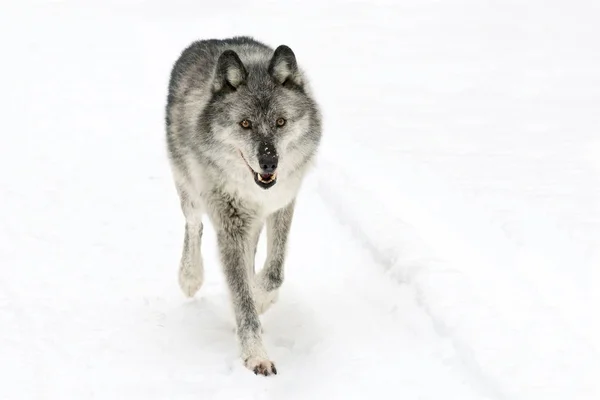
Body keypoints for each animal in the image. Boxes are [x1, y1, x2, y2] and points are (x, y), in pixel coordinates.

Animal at [164, 36, 324, 376]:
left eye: (280, 122)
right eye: (245, 123)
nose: (269, 162)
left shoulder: (282, 204)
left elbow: (273, 273)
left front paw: (261, 297)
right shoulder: (230, 225)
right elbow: (242, 296)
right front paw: (255, 355)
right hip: (190, 192)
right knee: (193, 225)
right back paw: (190, 277)